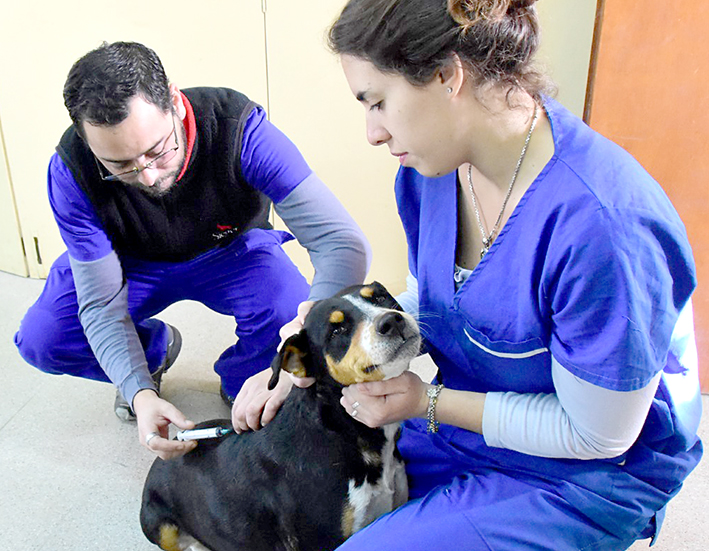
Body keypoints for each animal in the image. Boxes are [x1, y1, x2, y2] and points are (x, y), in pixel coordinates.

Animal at [141, 284, 424, 551]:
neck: (340, 428)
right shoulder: (323, 540)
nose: (391, 321)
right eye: (336, 331)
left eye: (380, 297)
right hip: (158, 525)